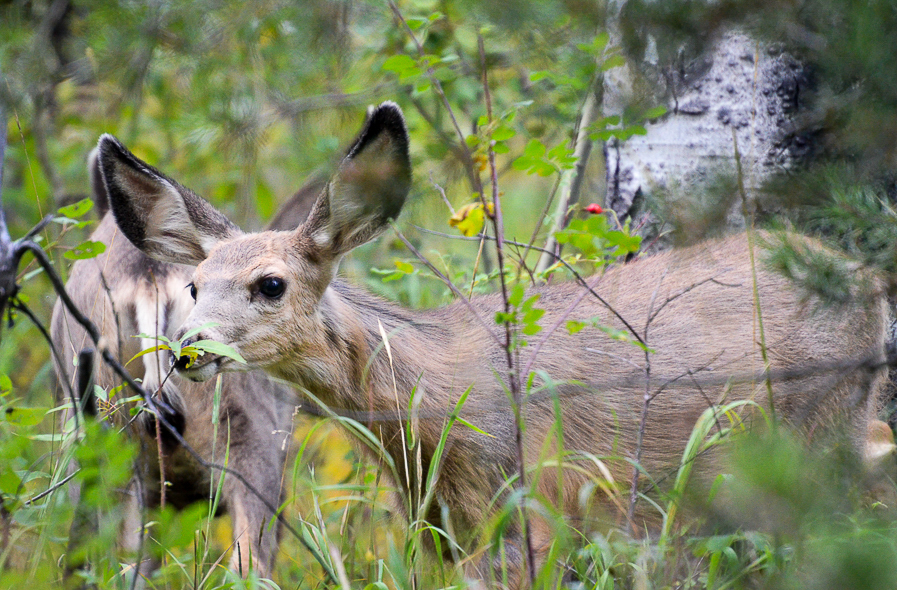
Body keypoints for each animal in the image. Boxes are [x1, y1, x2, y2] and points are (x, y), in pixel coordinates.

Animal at [91, 102, 888, 588]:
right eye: (194, 286)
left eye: (271, 284)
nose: (187, 352)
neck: (426, 398)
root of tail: (869, 284)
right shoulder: (441, 523)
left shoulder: (530, 500)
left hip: (802, 426)